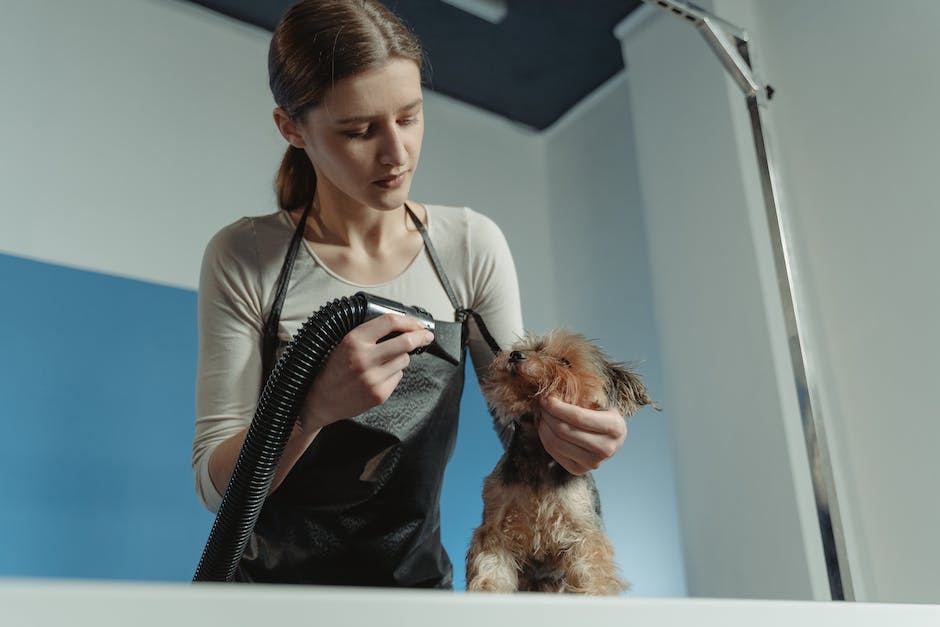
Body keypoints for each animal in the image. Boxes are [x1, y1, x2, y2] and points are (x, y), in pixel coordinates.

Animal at [464, 328, 652, 592]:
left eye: (565, 361)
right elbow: (491, 567)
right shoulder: (495, 528)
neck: (537, 454)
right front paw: (488, 590)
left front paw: (595, 593)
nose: (515, 355)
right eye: (534, 348)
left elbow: (593, 572)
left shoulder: (583, 532)